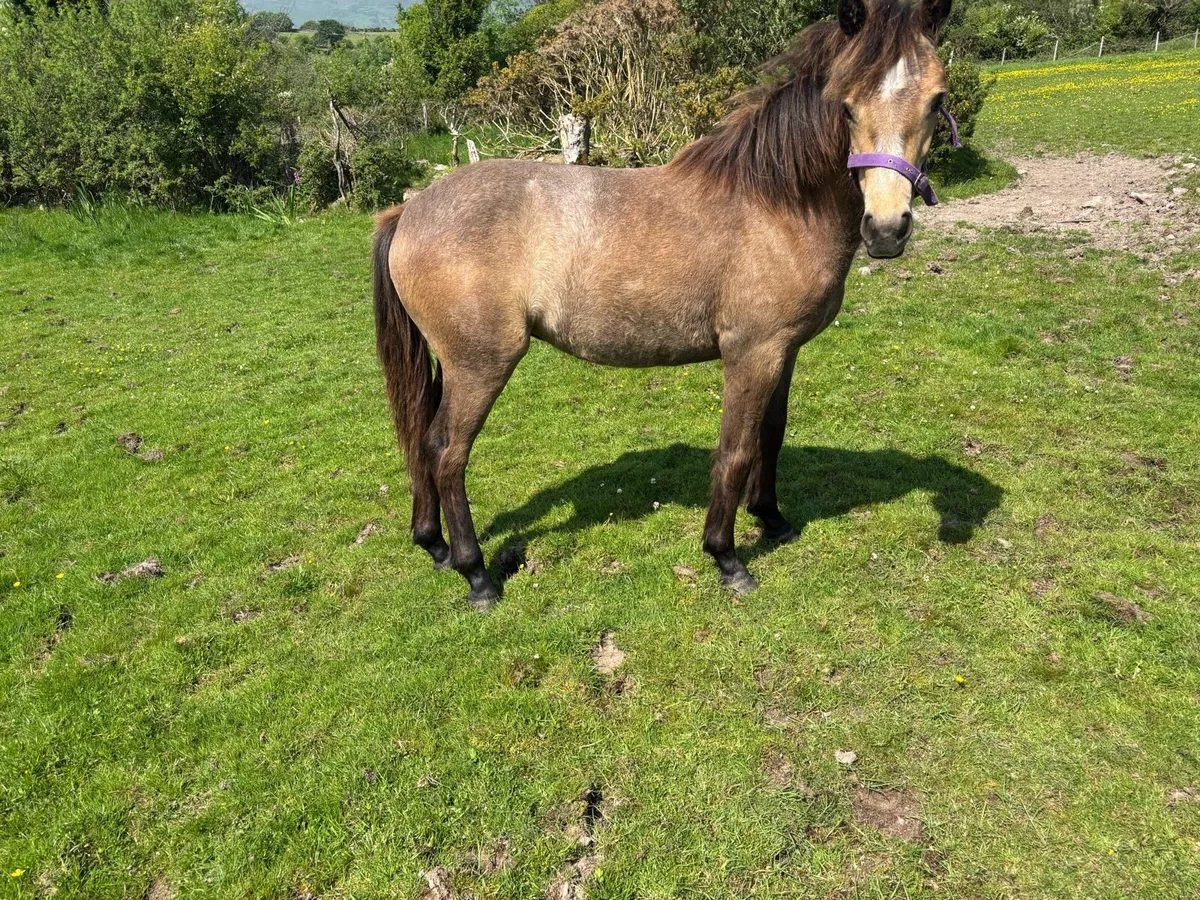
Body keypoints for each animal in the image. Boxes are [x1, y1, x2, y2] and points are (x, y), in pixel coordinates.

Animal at [373, 0, 954, 611]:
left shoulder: (784, 350)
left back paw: (435, 546)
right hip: (481, 364)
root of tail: (408, 212)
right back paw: (476, 574)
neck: (777, 203)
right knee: (447, 451)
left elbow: (771, 435)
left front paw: (772, 519)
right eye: (846, 105)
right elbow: (735, 449)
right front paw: (727, 558)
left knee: (422, 440)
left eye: (937, 100)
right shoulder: (751, 354)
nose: (886, 230)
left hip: (450, 364)